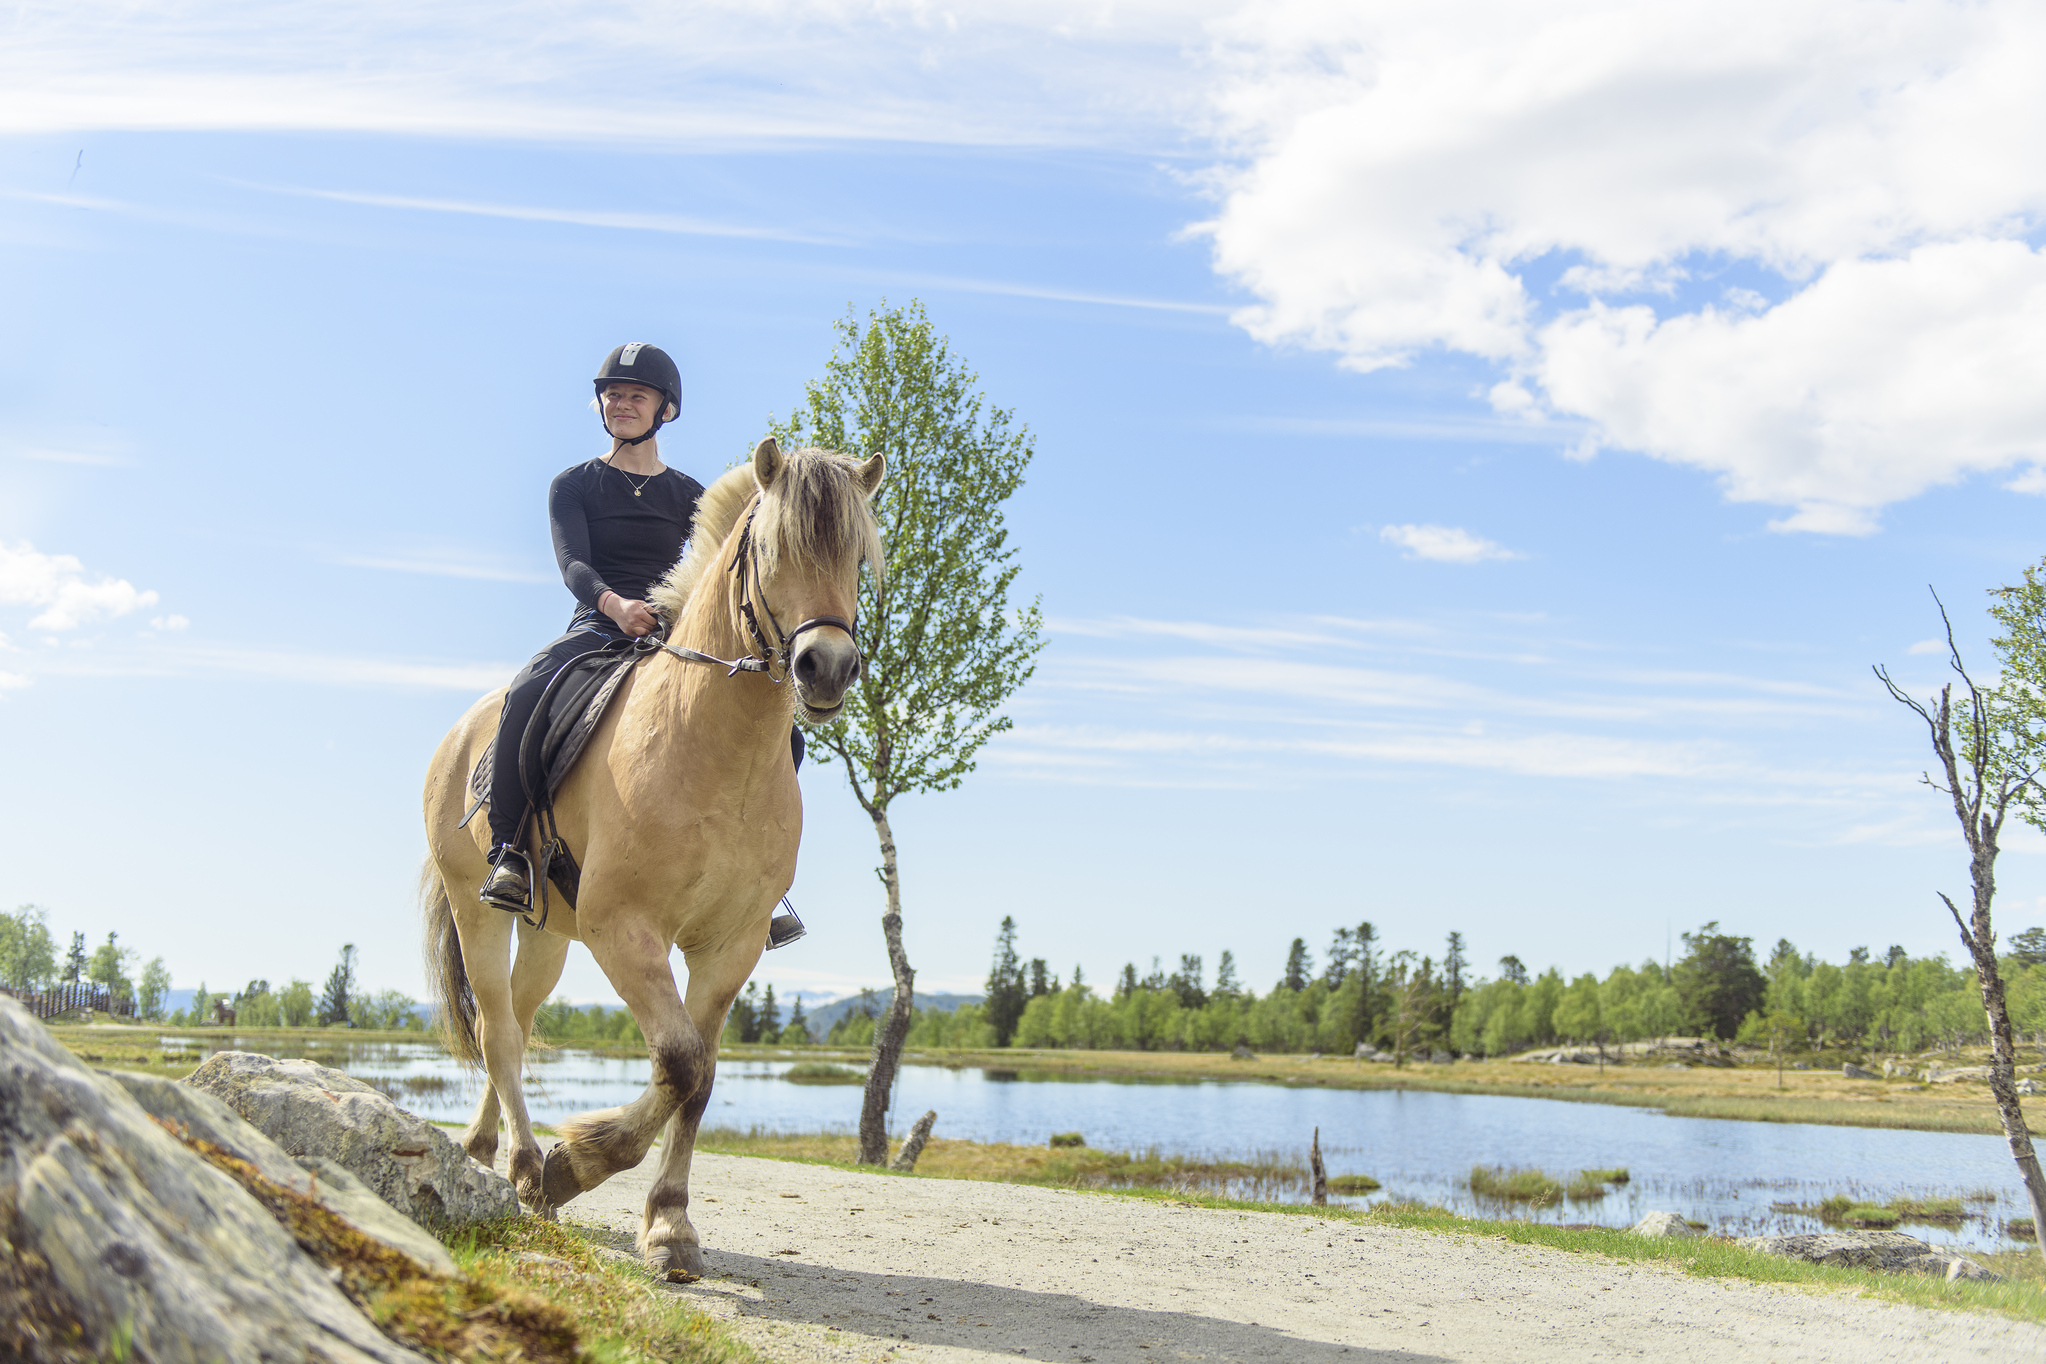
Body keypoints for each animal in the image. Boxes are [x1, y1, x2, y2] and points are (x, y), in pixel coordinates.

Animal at [419, 439, 883, 1284]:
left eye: (857, 559)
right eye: (772, 551)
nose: (826, 667)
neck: (712, 745)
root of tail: (464, 729)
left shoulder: (730, 946)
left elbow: (700, 1077)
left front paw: (670, 1226)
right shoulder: (625, 930)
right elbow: (679, 1060)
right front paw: (577, 1165)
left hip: (548, 933)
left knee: (519, 1023)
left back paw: (483, 1150)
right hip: (478, 908)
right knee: (498, 1030)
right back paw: (528, 1166)